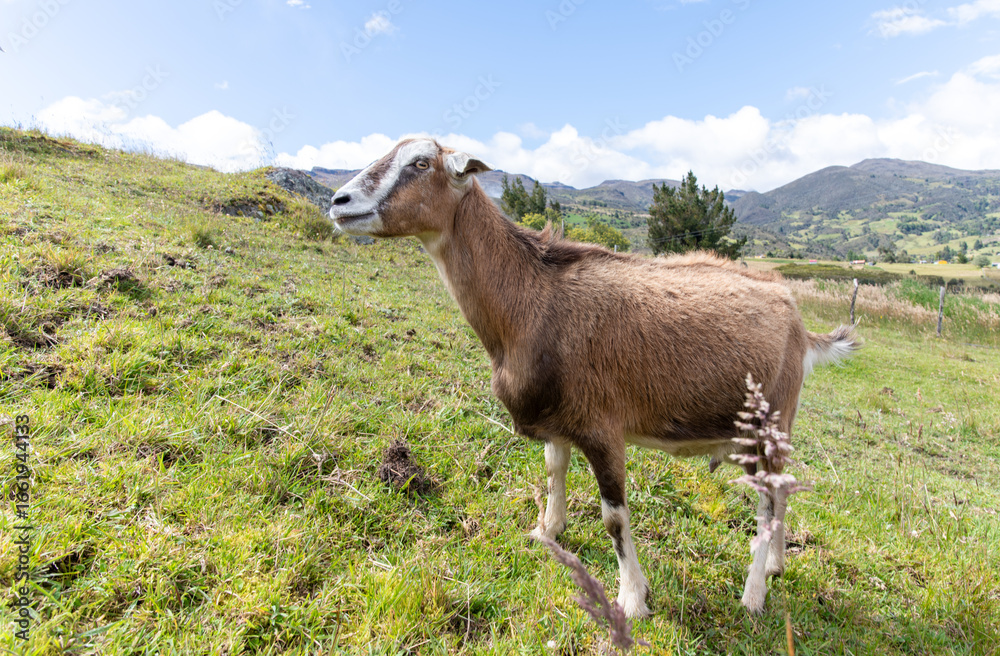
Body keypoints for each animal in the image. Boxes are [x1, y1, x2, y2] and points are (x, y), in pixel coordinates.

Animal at [329, 138, 857, 617]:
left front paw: (632, 599)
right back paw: (775, 567)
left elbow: (614, 519)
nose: (339, 202)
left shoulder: (603, 429)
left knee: (767, 504)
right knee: (781, 491)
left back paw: (753, 595)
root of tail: (798, 319)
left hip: (768, 422)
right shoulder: (557, 419)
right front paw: (547, 532)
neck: (532, 301)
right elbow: (553, 470)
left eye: (420, 163)